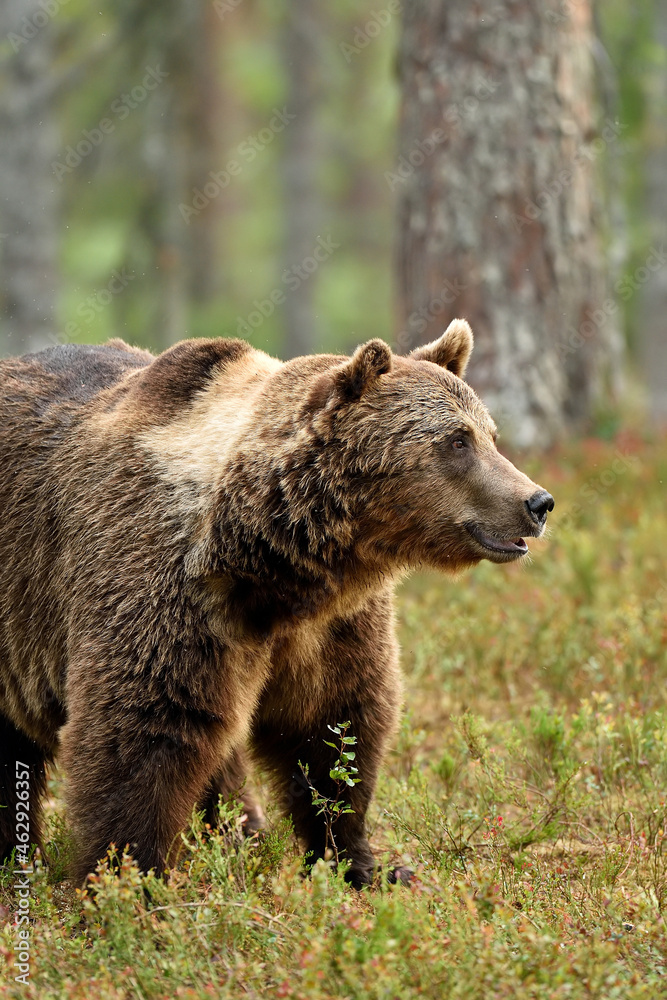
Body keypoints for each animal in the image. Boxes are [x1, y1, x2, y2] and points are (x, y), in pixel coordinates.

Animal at [0, 318, 552, 884]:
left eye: (490, 435)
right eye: (457, 441)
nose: (537, 502)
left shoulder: (330, 625)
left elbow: (335, 726)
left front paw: (362, 862)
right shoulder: (161, 584)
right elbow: (142, 729)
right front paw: (130, 878)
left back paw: (240, 832)